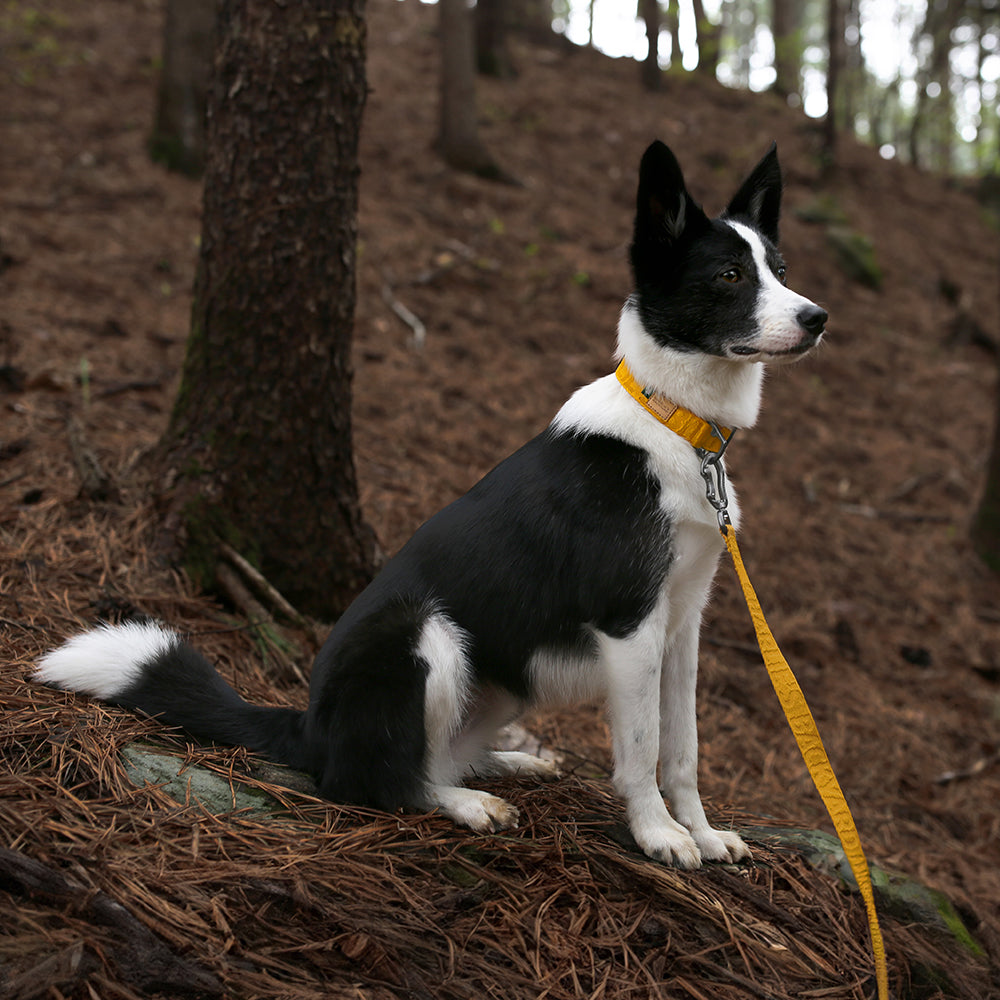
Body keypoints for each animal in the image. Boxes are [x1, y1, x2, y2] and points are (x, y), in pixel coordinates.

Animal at [33, 141, 828, 868]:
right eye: (729, 275)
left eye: (781, 271)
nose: (818, 317)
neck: (675, 423)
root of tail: (309, 724)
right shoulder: (629, 623)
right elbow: (639, 749)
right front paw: (657, 834)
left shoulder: (682, 624)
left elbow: (683, 748)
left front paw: (702, 832)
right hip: (423, 633)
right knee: (378, 780)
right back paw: (465, 803)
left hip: (502, 678)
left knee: (438, 752)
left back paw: (508, 763)